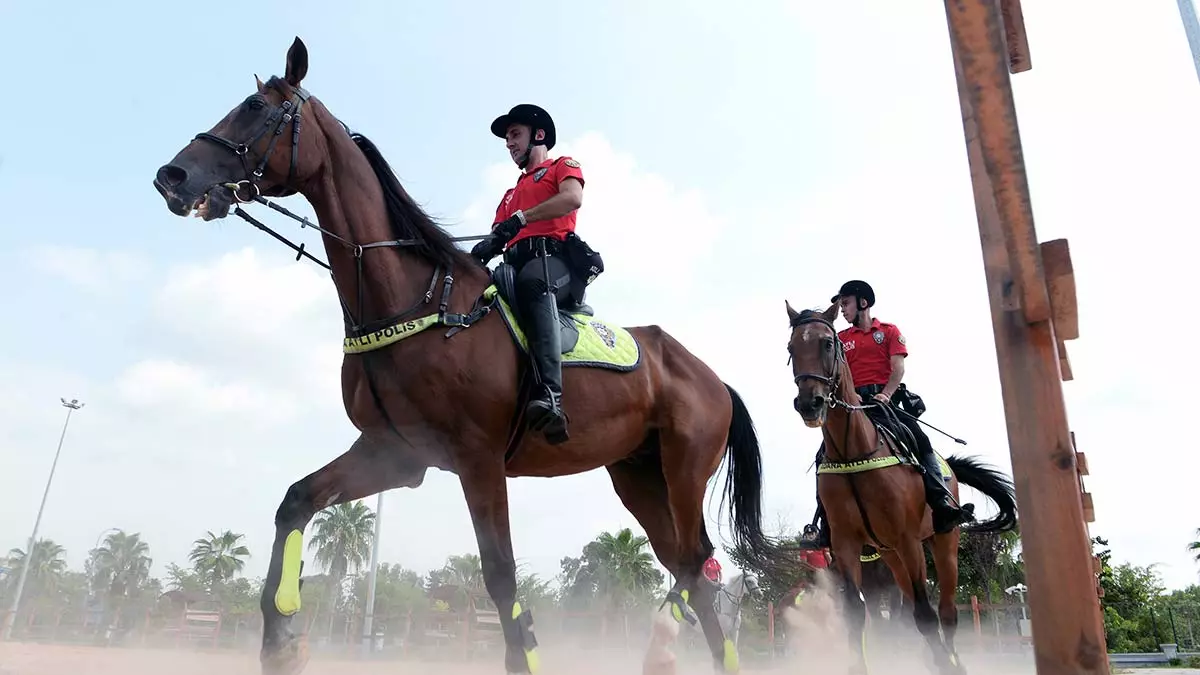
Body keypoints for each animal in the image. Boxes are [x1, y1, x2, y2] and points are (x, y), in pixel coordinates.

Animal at [147, 38, 777, 672]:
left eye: (254, 107)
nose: (171, 176)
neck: (417, 299)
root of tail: (711, 377)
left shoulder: (478, 458)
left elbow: (500, 576)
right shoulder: (395, 453)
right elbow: (295, 501)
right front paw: (280, 633)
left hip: (682, 470)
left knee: (695, 562)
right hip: (638, 476)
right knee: (689, 567)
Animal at [782, 300, 1017, 672]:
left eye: (828, 343)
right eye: (792, 349)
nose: (809, 403)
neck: (854, 451)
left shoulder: (908, 540)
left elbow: (925, 614)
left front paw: (943, 662)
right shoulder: (846, 546)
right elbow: (857, 616)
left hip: (941, 543)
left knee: (945, 612)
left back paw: (951, 660)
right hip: (891, 555)